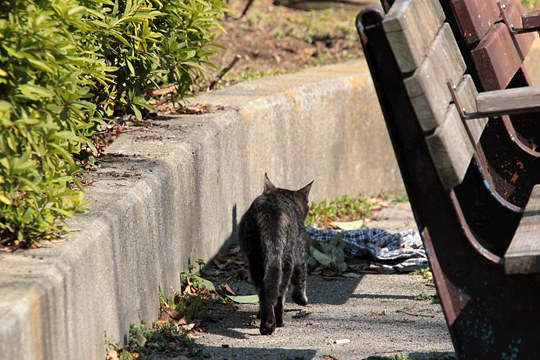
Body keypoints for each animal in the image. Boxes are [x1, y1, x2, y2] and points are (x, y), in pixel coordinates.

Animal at [239, 173, 312, 334]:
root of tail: (272, 212)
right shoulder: (300, 250)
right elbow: (301, 278)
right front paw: (302, 300)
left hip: (256, 260)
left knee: (264, 292)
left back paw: (266, 324)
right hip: (287, 259)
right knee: (279, 294)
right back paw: (277, 323)